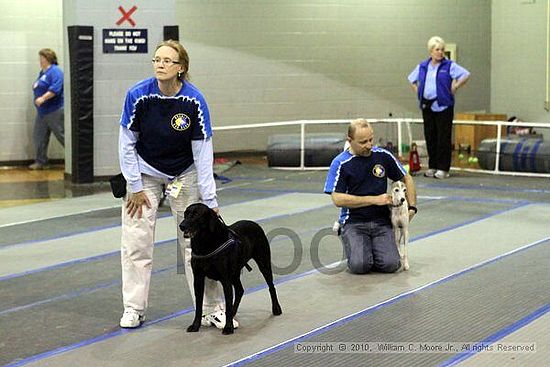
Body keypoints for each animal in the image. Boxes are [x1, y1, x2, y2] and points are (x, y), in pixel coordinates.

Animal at [181, 203, 282, 334]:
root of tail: (254, 223)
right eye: (185, 213)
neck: (204, 243)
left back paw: (276, 308)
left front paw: (228, 327)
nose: (181, 225)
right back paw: (233, 313)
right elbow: (199, 306)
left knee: (271, 286)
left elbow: (228, 303)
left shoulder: (225, 279)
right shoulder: (198, 279)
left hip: (263, 262)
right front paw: (195, 325)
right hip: (235, 273)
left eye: (196, 214)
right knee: (240, 290)